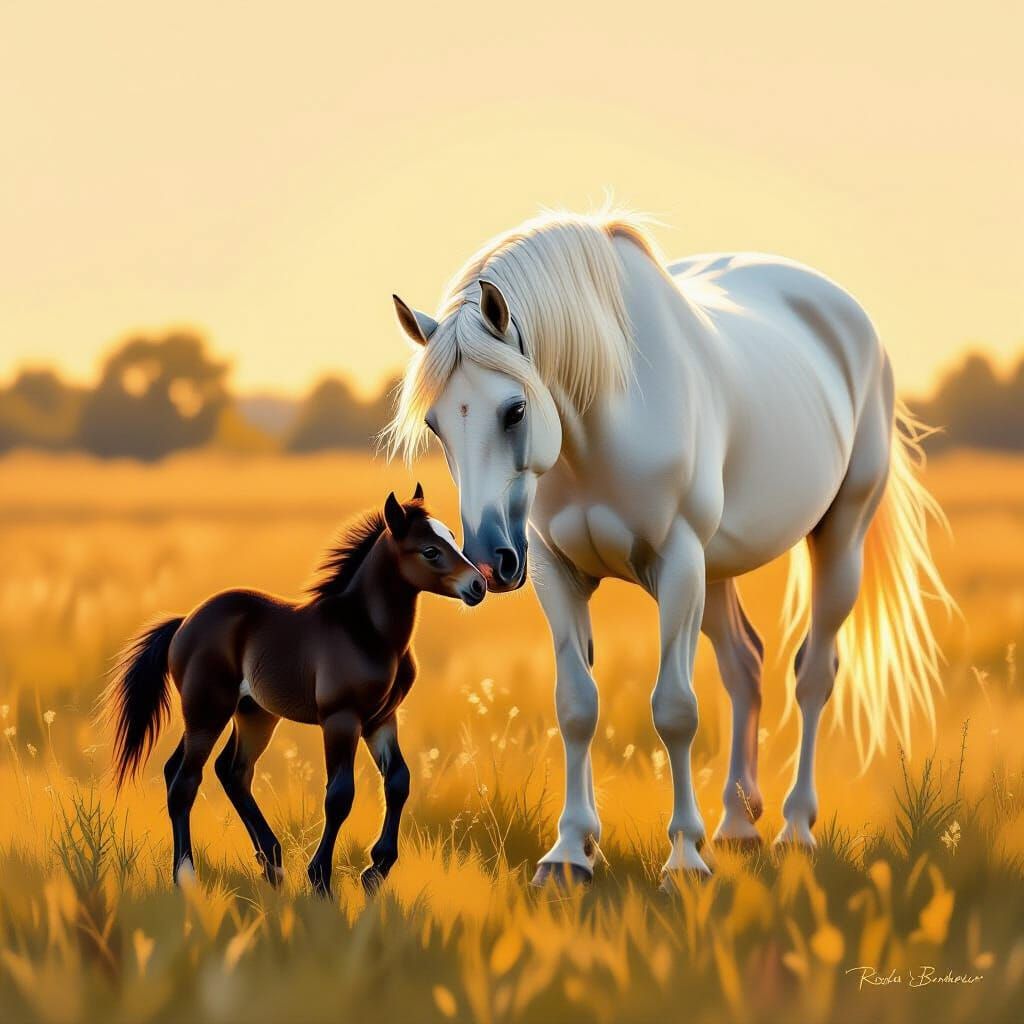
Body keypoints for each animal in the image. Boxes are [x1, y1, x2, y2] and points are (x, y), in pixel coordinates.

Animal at [103, 486, 486, 896]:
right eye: (429, 550)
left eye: (451, 537)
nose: (478, 585)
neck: (367, 631)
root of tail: (185, 621)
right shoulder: (341, 719)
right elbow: (340, 795)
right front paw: (321, 879)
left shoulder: (381, 719)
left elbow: (398, 782)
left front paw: (376, 869)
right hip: (207, 710)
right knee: (185, 782)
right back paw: (188, 878)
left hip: (253, 713)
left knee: (227, 771)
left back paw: (273, 864)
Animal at [387, 209, 953, 886]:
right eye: (436, 424)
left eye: (515, 409)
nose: (491, 562)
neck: (605, 417)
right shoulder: (556, 571)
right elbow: (576, 706)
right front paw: (570, 852)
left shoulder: (678, 564)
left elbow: (675, 710)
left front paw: (683, 856)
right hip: (717, 572)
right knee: (745, 665)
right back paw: (737, 825)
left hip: (837, 539)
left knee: (814, 675)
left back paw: (794, 829)